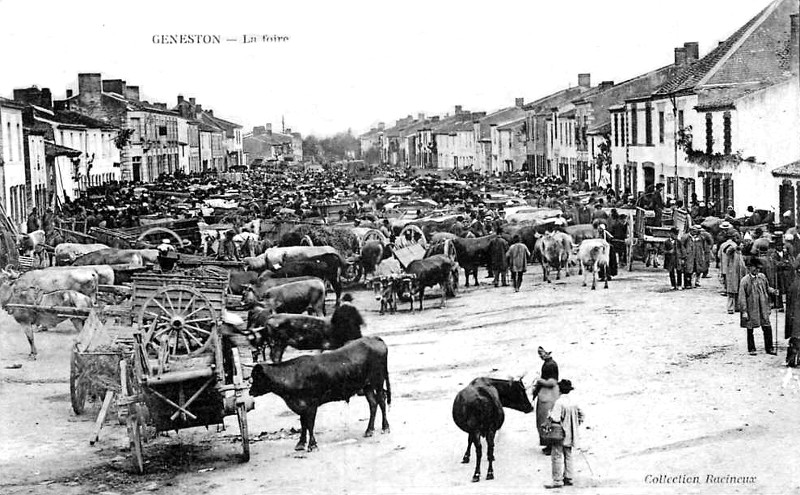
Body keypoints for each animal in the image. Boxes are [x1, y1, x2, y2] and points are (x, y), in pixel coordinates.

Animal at [248, 340, 390, 452]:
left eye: (258, 377)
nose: (250, 392)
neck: (293, 375)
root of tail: (374, 339)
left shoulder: (312, 404)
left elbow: (310, 424)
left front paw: (312, 445)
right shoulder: (301, 405)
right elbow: (303, 424)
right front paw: (301, 443)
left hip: (378, 381)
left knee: (382, 401)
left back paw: (385, 427)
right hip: (367, 386)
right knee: (373, 404)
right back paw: (369, 430)